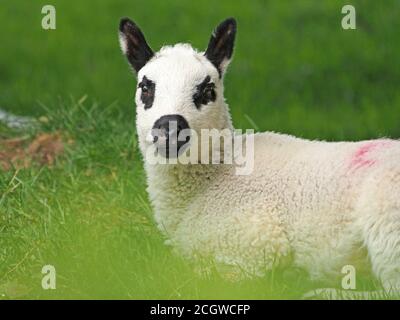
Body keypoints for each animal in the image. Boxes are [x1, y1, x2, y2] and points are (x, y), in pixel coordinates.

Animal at [119, 16, 400, 298]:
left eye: (207, 91)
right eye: (145, 88)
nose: (169, 129)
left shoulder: (257, 242)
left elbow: (201, 277)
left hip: (386, 220)